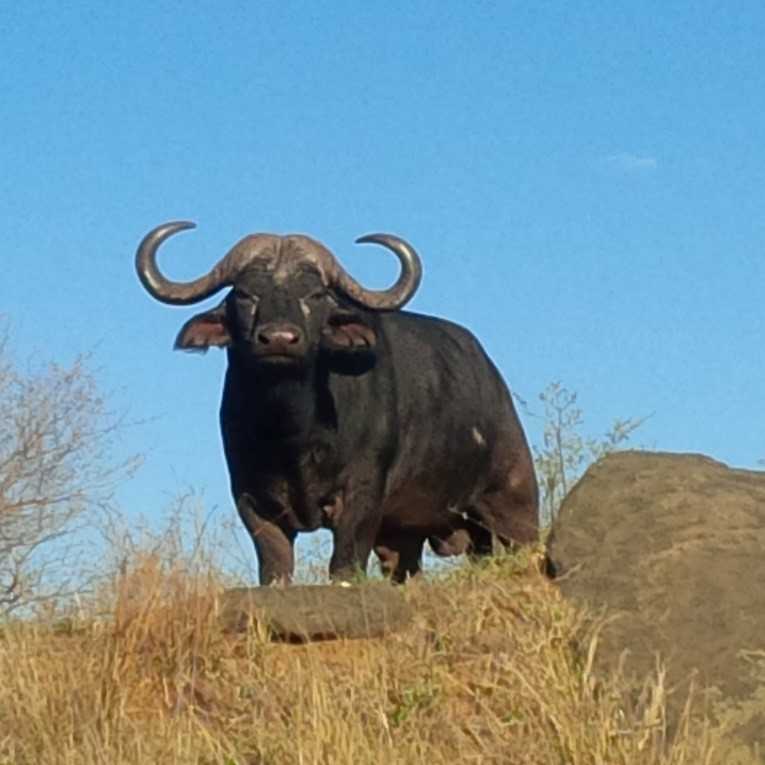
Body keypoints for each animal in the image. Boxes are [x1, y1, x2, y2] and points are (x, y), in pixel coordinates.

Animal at [134, 224, 536, 580]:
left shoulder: (361, 496)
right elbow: (275, 568)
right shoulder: (251, 498)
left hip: (515, 508)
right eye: (246, 294)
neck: (291, 432)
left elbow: (344, 565)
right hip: (408, 535)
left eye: (313, 295)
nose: (279, 339)